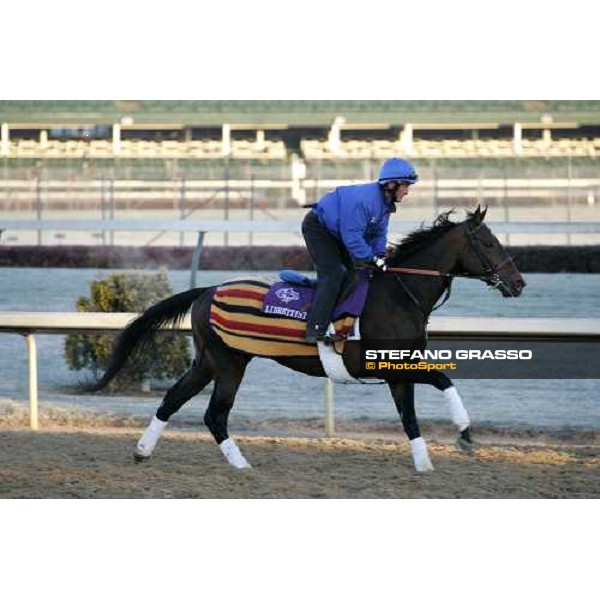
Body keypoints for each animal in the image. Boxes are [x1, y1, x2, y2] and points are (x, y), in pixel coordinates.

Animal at [85, 206, 524, 474]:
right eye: (489, 242)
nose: (518, 282)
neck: (400, 294)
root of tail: (208, 289)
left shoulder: (398, 369)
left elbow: (410, 417)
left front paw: (424, 463)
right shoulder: (384, 363)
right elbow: (443, 379)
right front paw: (465, 434)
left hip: (208, 361)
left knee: (174, 400)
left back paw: (143, 451)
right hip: (229, 363)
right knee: (215, 414)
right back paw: (241, 465)